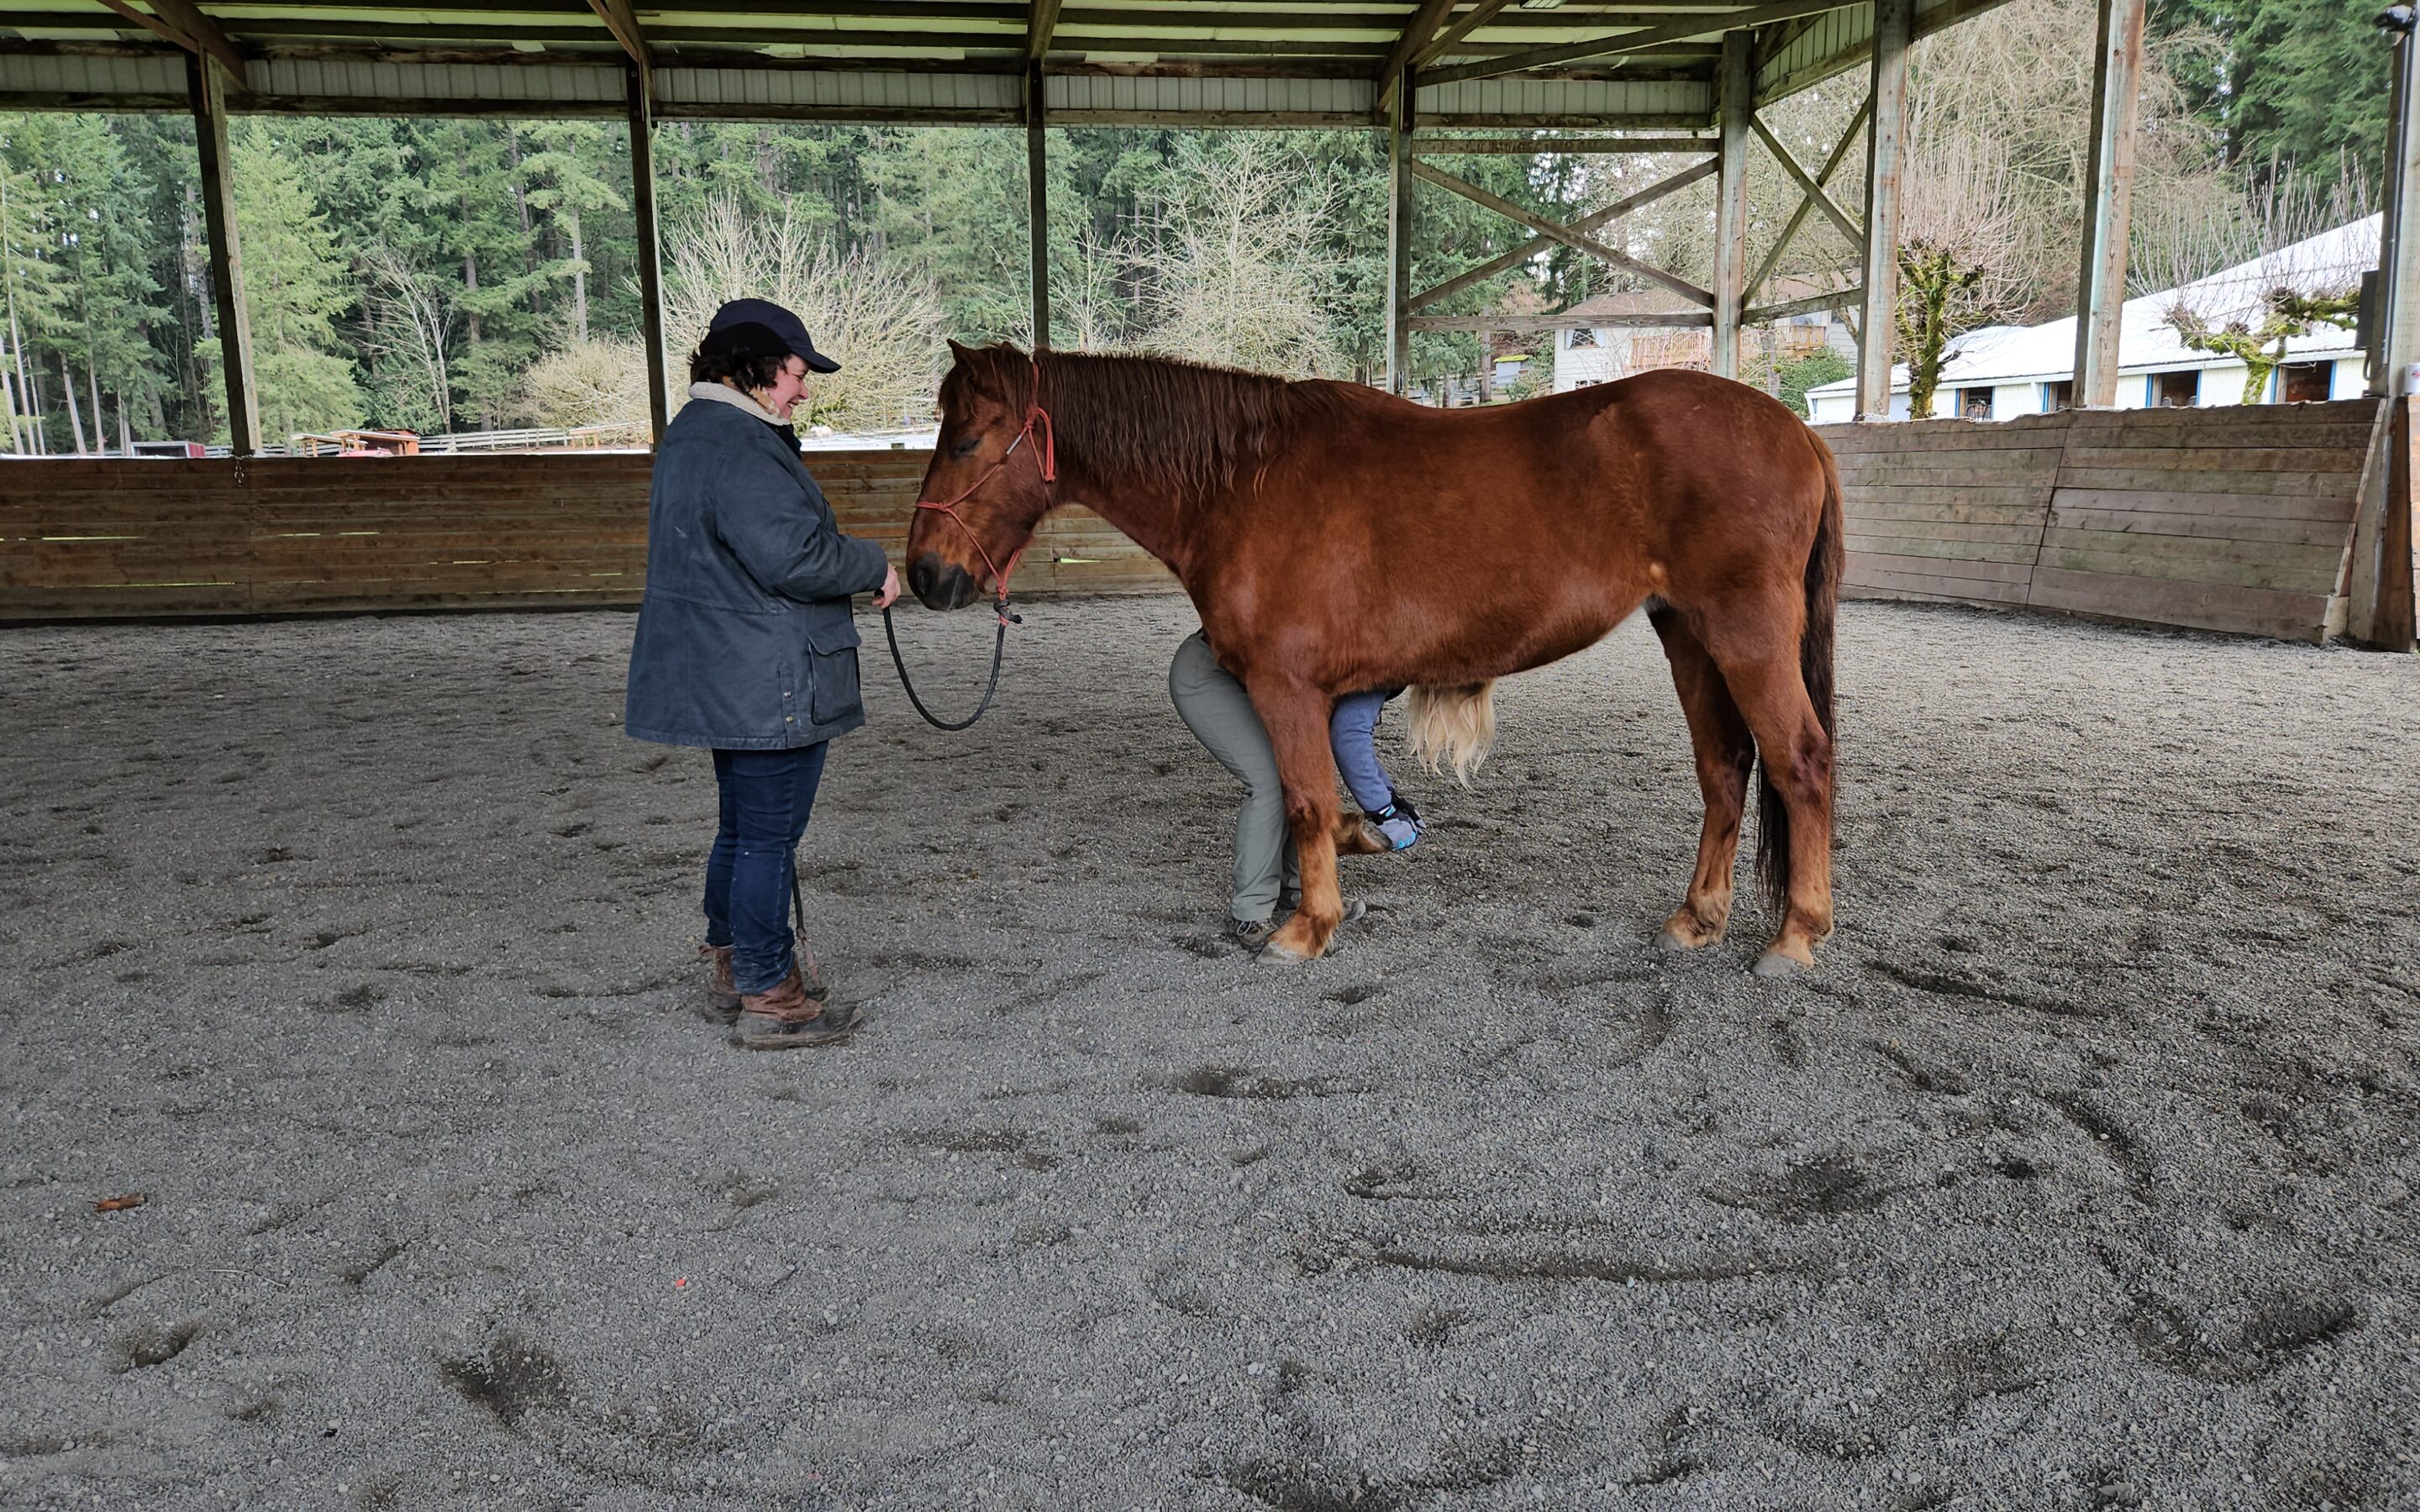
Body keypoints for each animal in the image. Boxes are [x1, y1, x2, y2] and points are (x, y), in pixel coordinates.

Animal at [905, 341, 1829, 972]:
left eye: (964, 442)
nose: (923, 575)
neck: (1241, 482)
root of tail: (1794, 430)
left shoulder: (1284, 686)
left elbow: (1307, 802)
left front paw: (1307, 926)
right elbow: (1314, 806)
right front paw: (1360, 849)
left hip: (1743, 635)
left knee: (1800, 762)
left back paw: (1795, 936)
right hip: (1689, 636)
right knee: (1725, 770)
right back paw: (1697, 918)